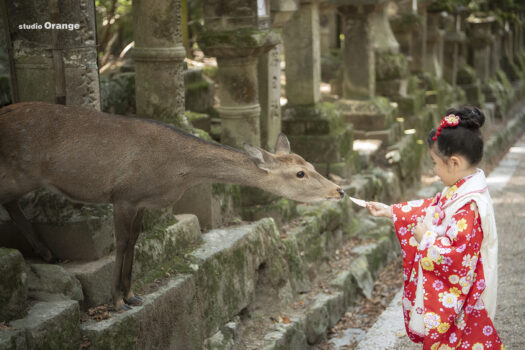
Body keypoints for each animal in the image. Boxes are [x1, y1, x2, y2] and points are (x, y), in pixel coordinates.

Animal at [0, 100, 346, 308]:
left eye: (310, 163)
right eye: (300, 173)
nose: (339, 190)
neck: (175, 171)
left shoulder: (139, 201)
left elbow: (135, 241)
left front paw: (132, 295)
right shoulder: (123, 195)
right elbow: (122, 243)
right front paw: (116, 300)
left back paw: (48, 253)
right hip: (19, 173)